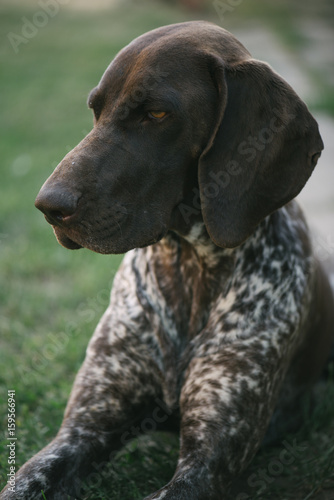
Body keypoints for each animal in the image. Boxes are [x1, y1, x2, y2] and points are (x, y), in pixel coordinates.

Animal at [1, 20, 332, 500]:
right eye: (95, 109)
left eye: (156, 114)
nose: (49, 206)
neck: (186, 267)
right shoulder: (81, 430)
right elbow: (25, 479)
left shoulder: (206, 462)